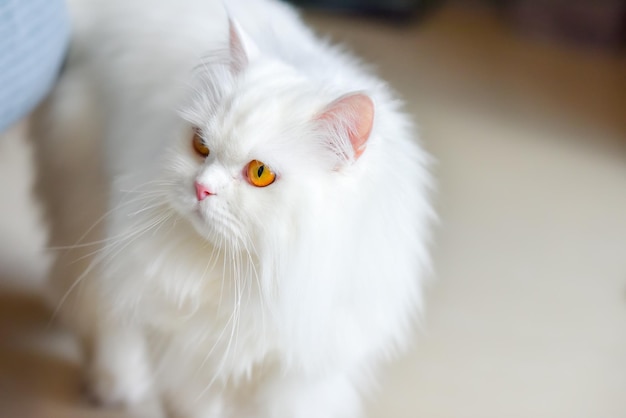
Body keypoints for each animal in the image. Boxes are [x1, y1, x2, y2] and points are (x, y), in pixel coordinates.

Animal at [31, 0, 432, 418]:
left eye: (260, 173)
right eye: (200, 145)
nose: (201, 188)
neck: (258, 278)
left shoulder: (297, 378)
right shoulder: (189, 357)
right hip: (92, 220)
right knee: (101, 314)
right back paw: (115, 385)